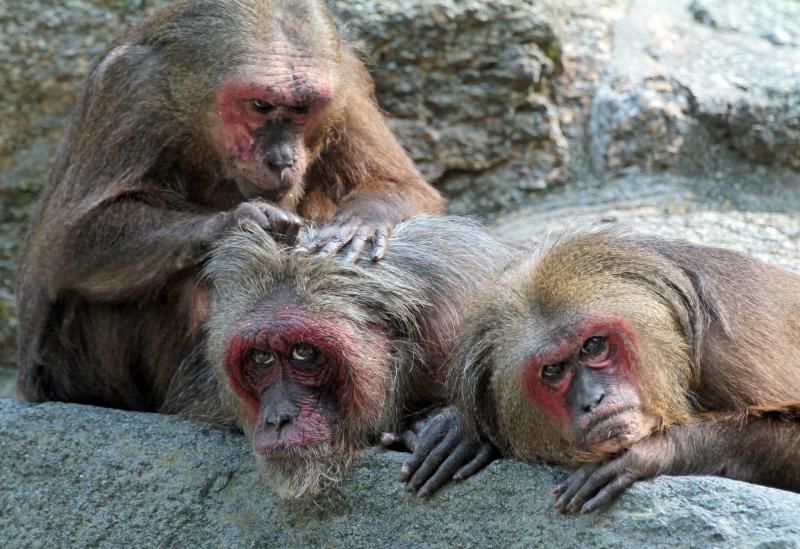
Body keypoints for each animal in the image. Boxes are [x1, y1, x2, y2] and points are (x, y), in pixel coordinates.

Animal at [16, 0, 443, 411]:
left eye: (301, 109)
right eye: (260, 105)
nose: (282, 159)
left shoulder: (346, 80)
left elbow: (407, 188)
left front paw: (361, 225)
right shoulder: (129, 87)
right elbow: (67, 245)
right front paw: (237, 222)